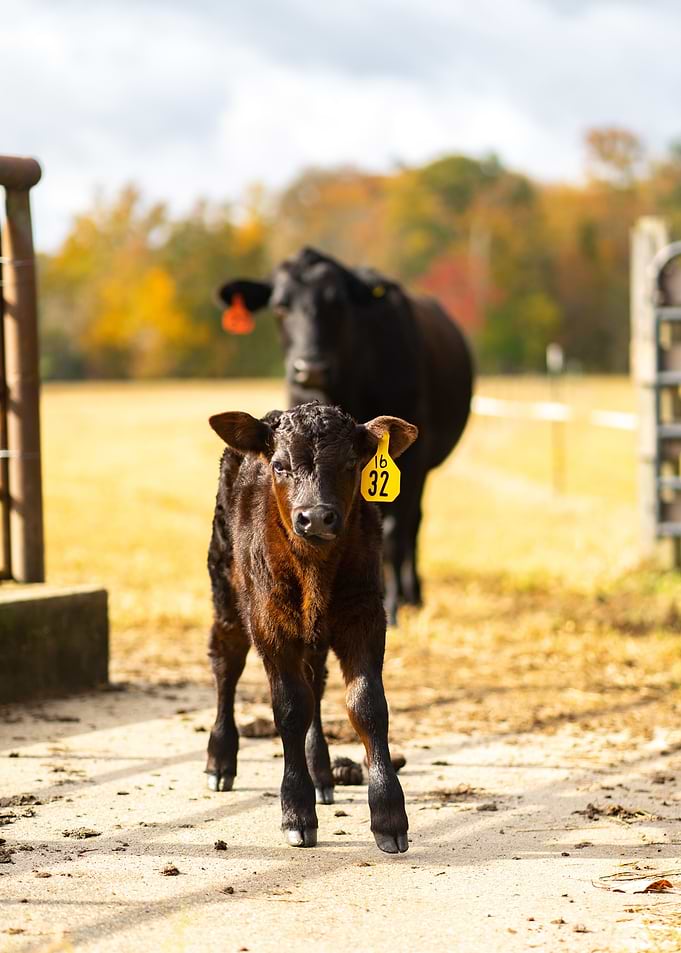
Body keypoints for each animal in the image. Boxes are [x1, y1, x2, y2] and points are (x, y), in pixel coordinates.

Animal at [206, 401, 417, 853]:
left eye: (352, 464)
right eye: (280, 466)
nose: (316, 517)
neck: (314, 571)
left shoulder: (366, 614)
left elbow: (367, 706)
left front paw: (389, 817)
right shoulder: (269, 622)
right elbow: (289, 708)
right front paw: (297, 813)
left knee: (315, 683)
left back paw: (322, 772)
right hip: (226, 587)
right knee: (226, 662)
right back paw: (220, 760)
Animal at [217, 246, 474, 623]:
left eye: (337, 303)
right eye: (280, 306)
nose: (310, 368)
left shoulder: (409, 459)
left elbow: (393, 533)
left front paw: (390, 607)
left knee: (412, 523)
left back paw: (412, 595)